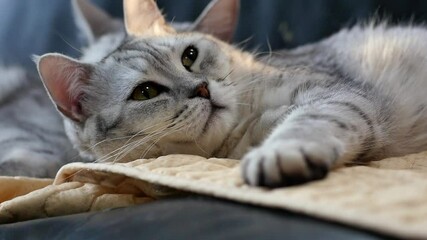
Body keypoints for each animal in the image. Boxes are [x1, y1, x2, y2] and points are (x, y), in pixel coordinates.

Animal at [34, 0, 427, 188]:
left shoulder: (335, 94)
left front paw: (279, 152)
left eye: (190, 55)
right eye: (145, 92)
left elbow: (305, 121)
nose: (202, 88)